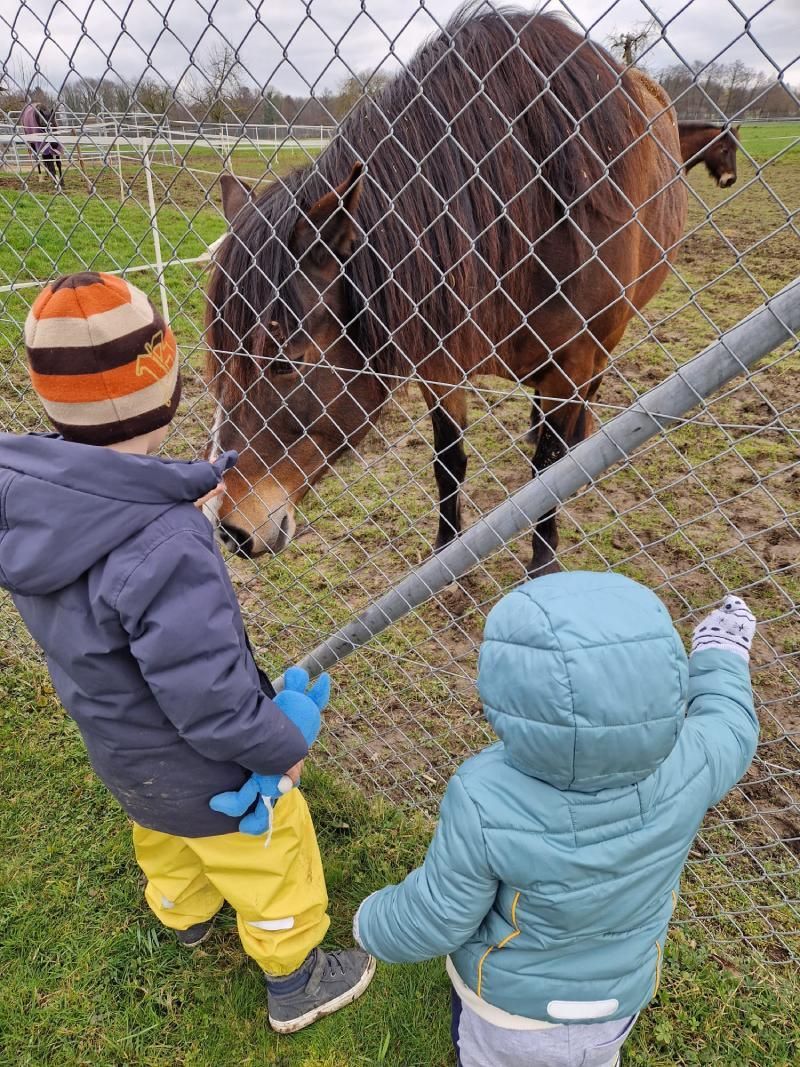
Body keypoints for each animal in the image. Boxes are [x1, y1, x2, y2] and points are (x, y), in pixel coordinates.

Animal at [205, 4, 687, 574]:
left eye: (285, 362)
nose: (232, 530)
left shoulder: (571, 362)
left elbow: (547, 472)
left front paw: (542, 564)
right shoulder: (440, 362)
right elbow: (448, 459)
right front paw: (446, 553)